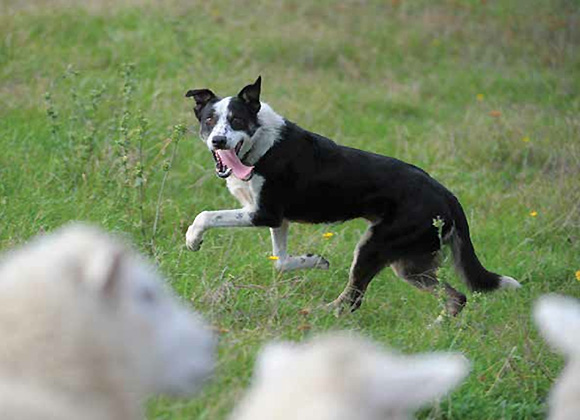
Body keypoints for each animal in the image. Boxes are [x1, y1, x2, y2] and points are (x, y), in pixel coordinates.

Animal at [184, 78, 520, 316]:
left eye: (237, 120)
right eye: (210, 120)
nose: (219, 141)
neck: (260, 145)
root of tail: (447, 194)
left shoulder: (264, 213)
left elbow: (206, 215)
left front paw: (193, 239)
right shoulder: (277, 220)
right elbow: (281, 262)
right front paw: (315, 261)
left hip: (374, 247)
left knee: (353, 300)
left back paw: (316, 316)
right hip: (410, 264)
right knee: (456, 297)